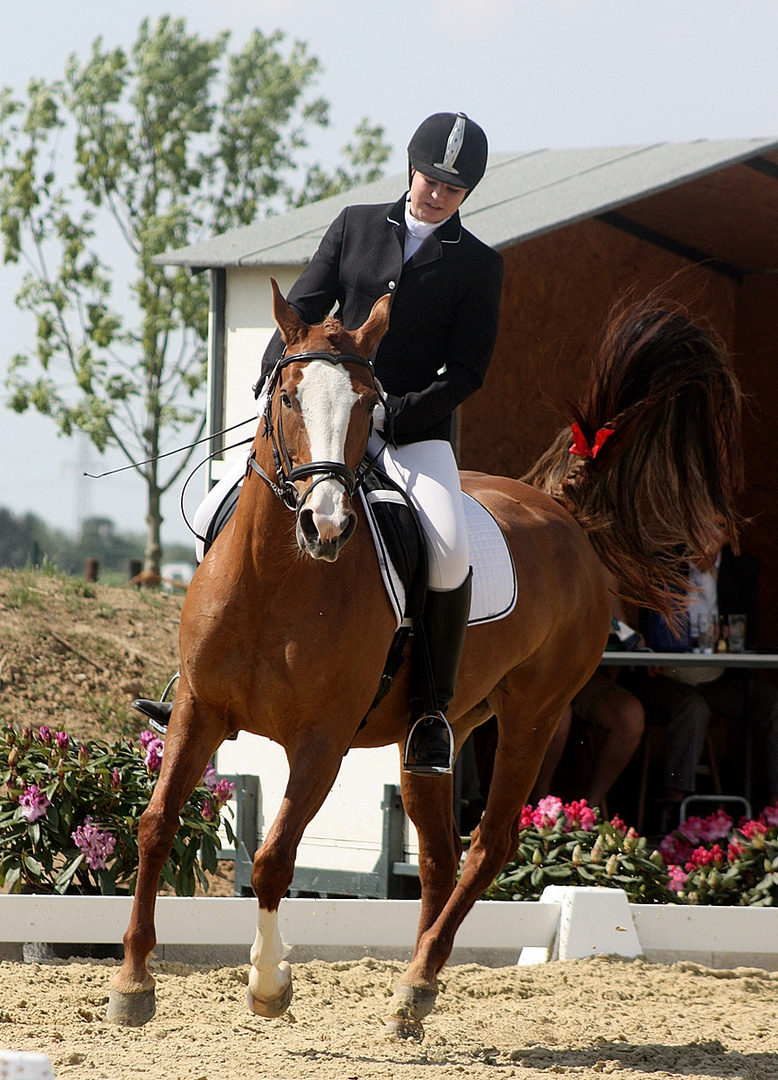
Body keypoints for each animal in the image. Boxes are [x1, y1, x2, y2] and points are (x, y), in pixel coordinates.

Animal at [108, 276, 743, 1028]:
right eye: (288, 396)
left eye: (368, 403)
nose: (325, 526)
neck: (275, 576)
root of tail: (563, 514)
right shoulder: (199, 710)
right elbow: (154, 825)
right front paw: (133, 983)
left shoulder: (321, 742)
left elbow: (273, 859)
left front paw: (268, 985)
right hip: (441, 730)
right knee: (439, 855)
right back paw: (416, 989)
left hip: (534, 717)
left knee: (490, 846)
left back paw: (417, 980)